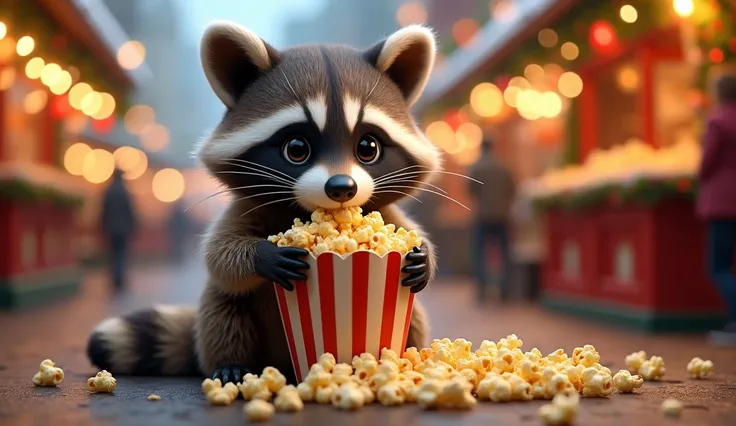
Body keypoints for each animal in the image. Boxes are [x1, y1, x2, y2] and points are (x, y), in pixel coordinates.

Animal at [86, 21, 442, 384]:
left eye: (368, 148)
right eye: (296, 148)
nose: (342, 188)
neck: (305, 211)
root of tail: (280, 362)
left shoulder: (381, 210)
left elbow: (409, 230)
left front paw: (425, 256)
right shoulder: (245, 206)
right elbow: (219, 254)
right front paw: (264, 254)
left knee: (416, 316)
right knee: (223, 305)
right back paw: (230, 363)